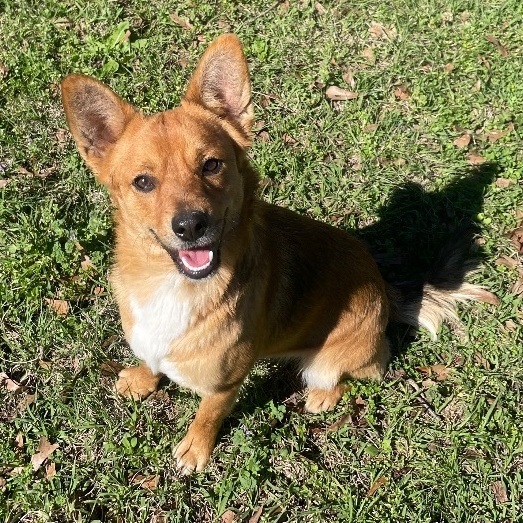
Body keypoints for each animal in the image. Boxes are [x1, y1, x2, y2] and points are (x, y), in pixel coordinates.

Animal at [61, 32, 496, 474]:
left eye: (212, 165)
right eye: (143, 182)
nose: (190, 226)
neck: (170, 284)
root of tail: (384, 291)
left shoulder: (226, 383)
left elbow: (208, 416)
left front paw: (196, 449)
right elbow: (152, 361)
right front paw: (142, 378)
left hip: (330, 362)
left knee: (359, 372)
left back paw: (323, 394)